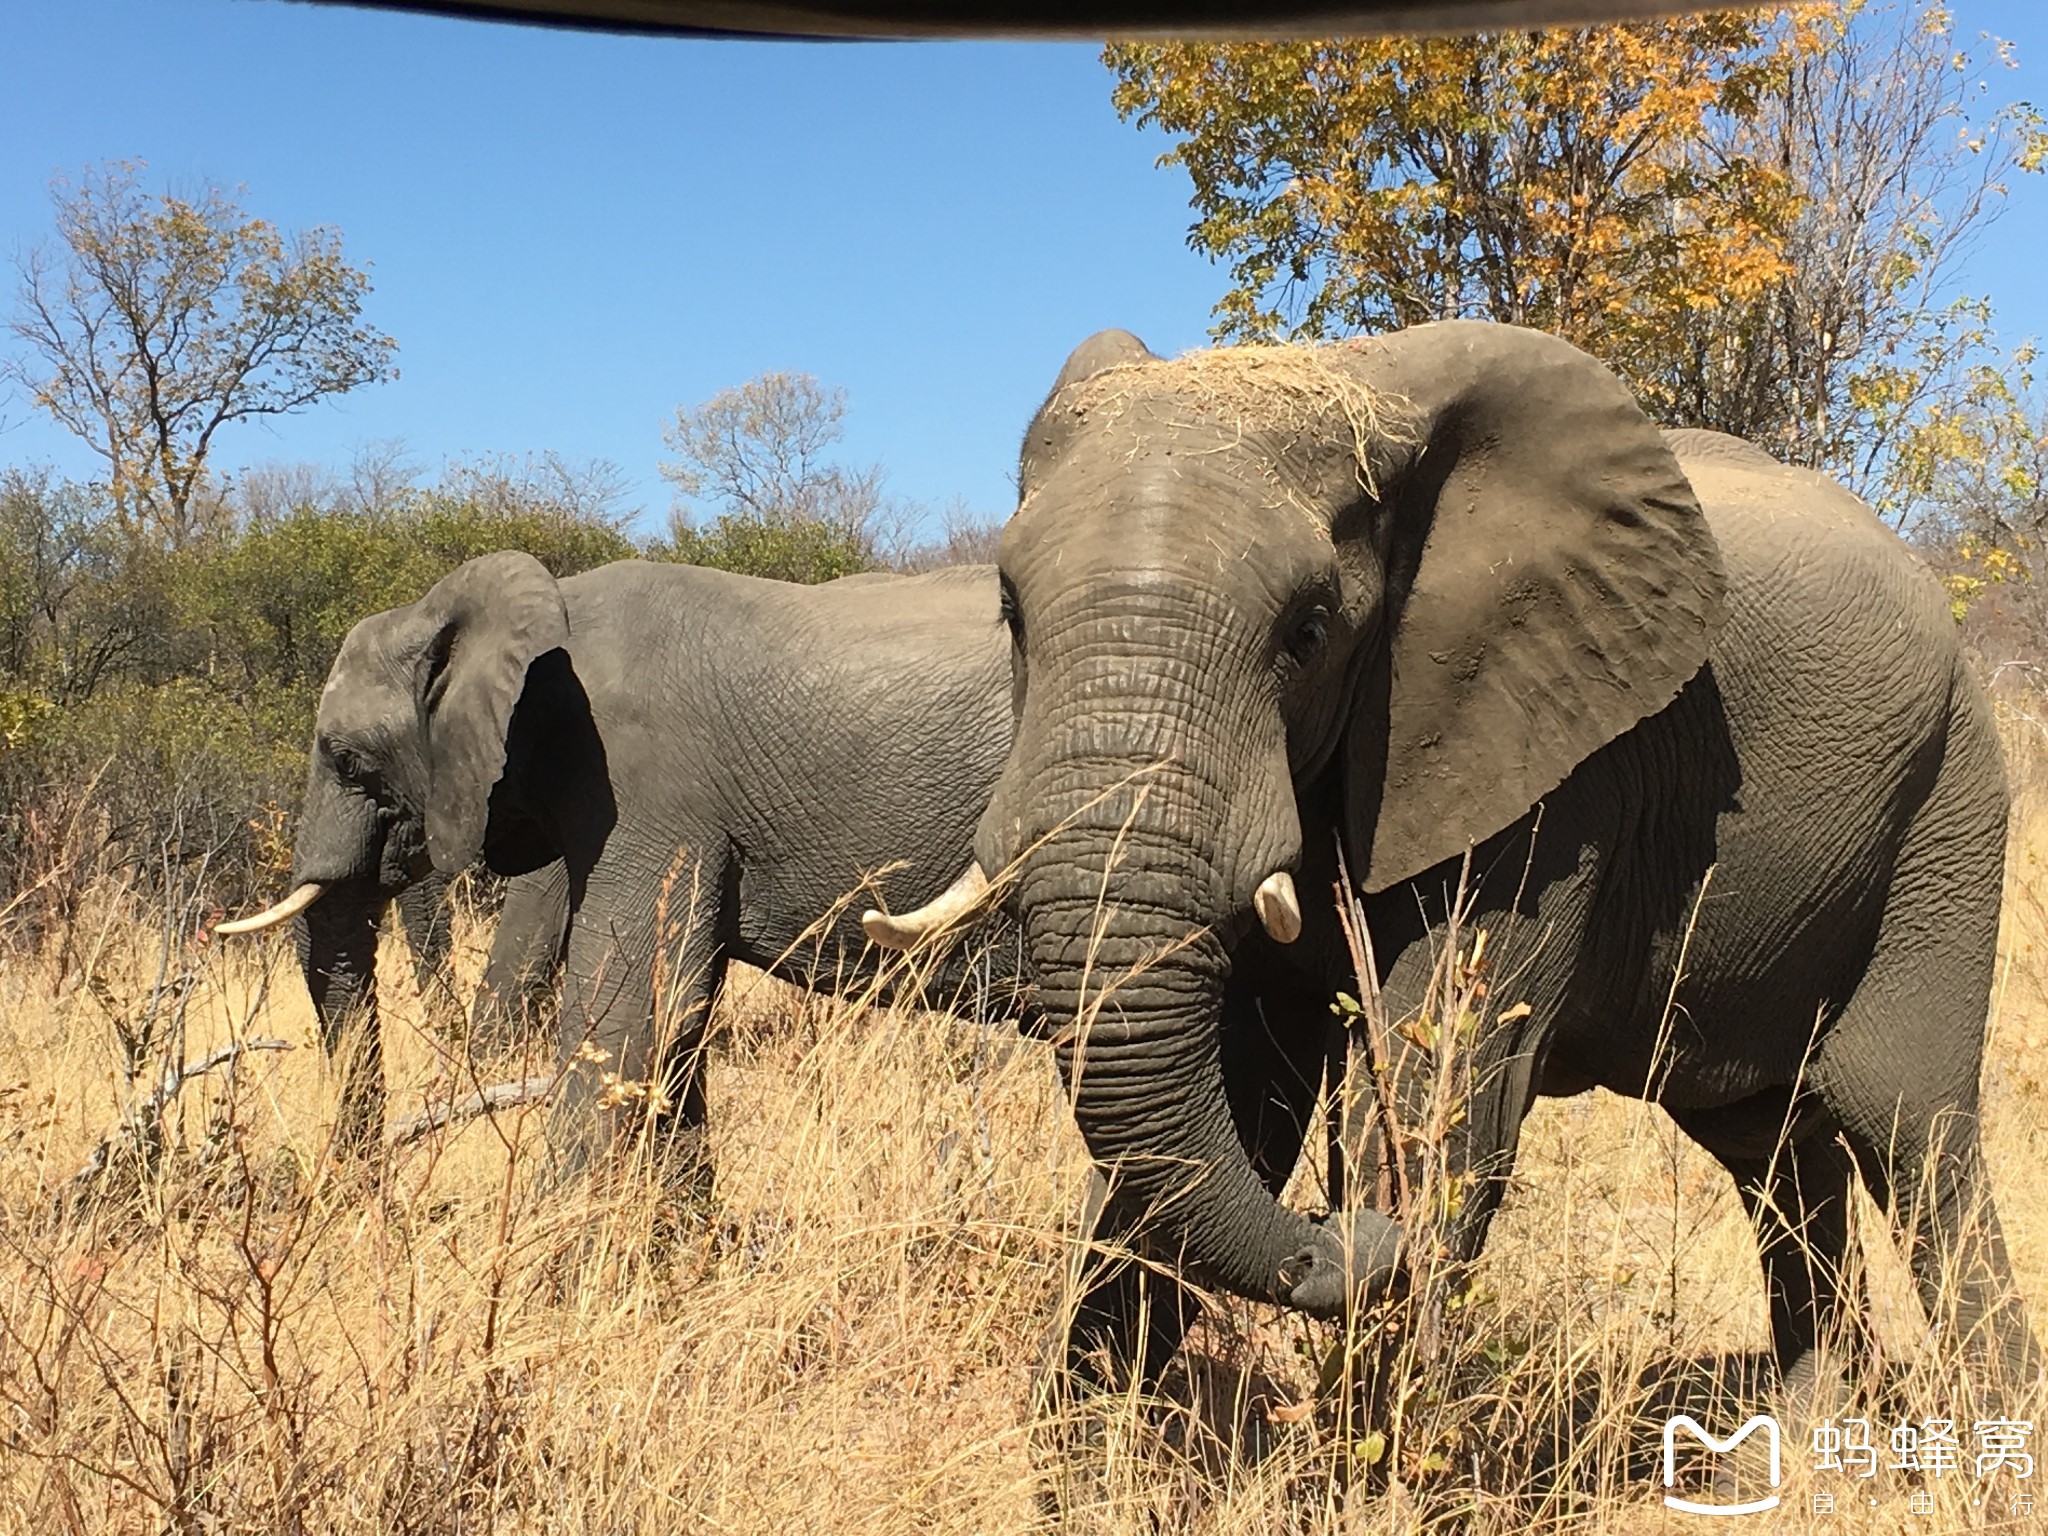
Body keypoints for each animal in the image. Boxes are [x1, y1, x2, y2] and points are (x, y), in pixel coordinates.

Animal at [868, 319, 2048, 1417]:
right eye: (1011, 616)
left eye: (1307, 632)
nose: (1334, 1236)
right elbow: (1243, 1095)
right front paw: (1081, 1451)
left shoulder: (1551, 760)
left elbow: (1443, 1083)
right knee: (1767, 1140)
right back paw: (1798, 1436)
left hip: (1949, 799)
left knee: (1908, 1126)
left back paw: (1990, 1437)